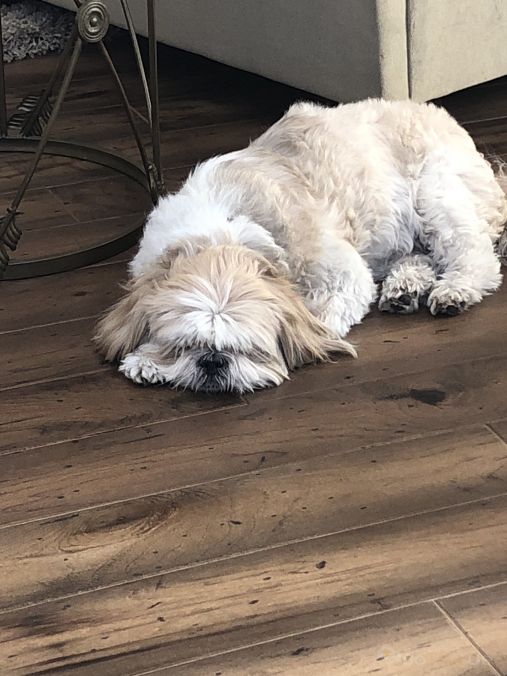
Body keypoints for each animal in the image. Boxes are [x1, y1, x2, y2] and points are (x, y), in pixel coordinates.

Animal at [95, 99, 507, 393]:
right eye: (182, 346)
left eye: (250, 348)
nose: (212, 361)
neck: (219, 230)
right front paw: (147, 360)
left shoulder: (341, 274)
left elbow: (321, 315)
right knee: (418, 256)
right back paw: (404, 288)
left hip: (436, 192)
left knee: (474, 255)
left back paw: (454, 291)